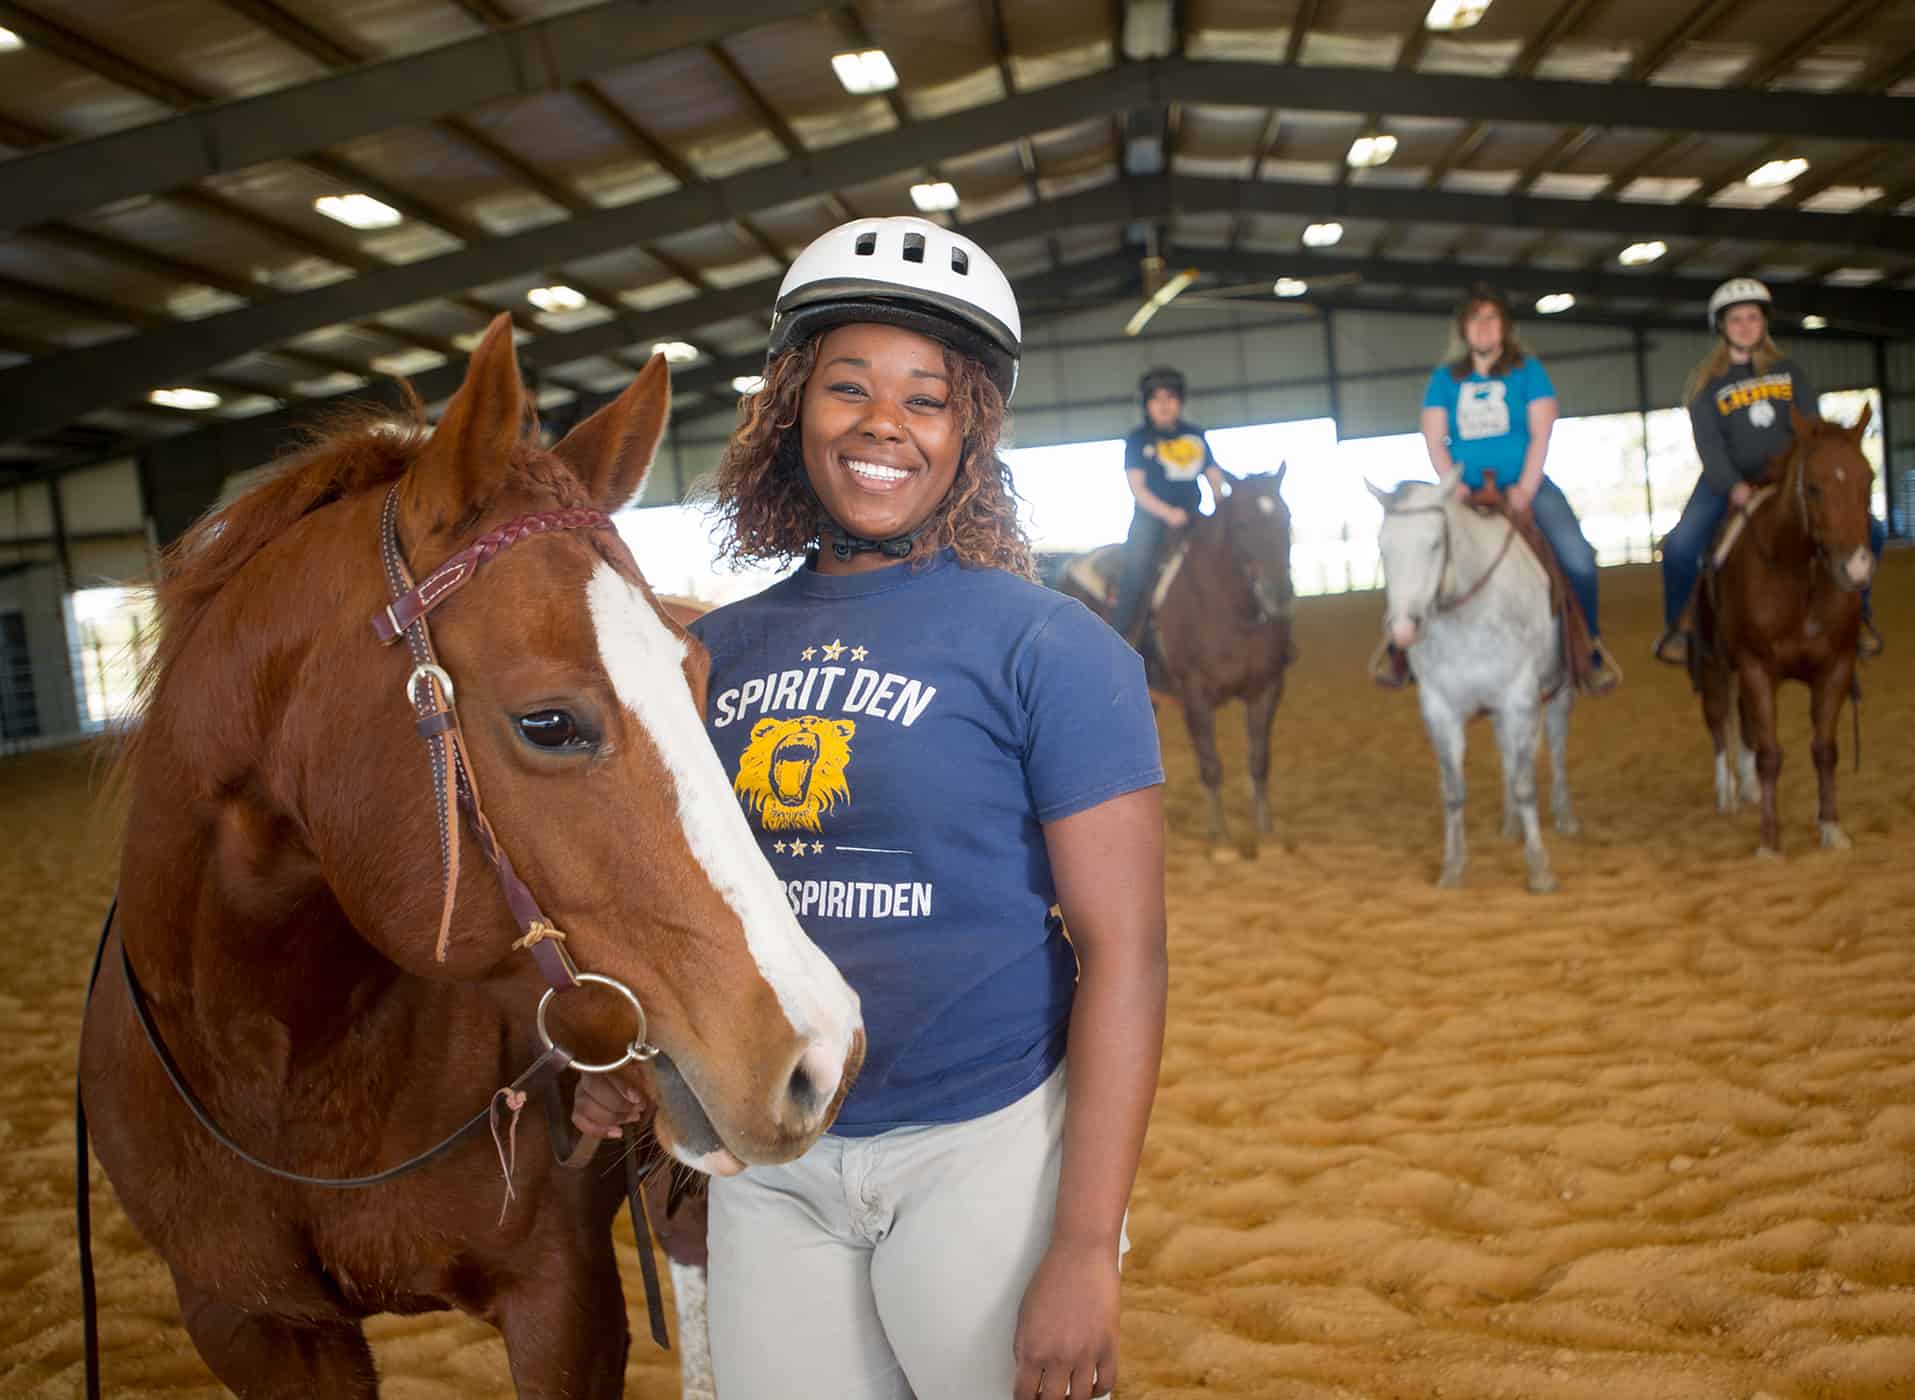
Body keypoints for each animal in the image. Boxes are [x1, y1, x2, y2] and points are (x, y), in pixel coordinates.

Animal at [78, 317, 865, 1400]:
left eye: (700, 678)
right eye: (548, 722)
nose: (823, 1047)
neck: (281, 1068)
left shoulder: (561, 1301)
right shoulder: (253, 1325)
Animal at [1371, 471, 1577, 888]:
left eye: (1434, 543)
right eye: (1383, 547)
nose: (1402, 629)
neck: (1469, 615)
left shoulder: (1520, 697)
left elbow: (1526, 782)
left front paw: (1539, 870)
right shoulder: (1439, 708)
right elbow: (1453, 790)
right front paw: (1452, 868)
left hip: (1555, 691)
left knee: (1556, 746)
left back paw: (1564, 817)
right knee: (1508, 755)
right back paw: (1511, 824)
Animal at [1700, 406, 1876, 858]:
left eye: (1869, 479)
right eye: (1813, 487)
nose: (1857, 568)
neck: (1801, 582)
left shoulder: (1835, 668)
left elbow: (1825, 751)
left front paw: (1831, 827)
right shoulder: (1756, 669)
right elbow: (1769, 754)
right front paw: (1769, 841)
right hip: (1713, 664)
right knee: (1719, 720)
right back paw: (1726, 792)